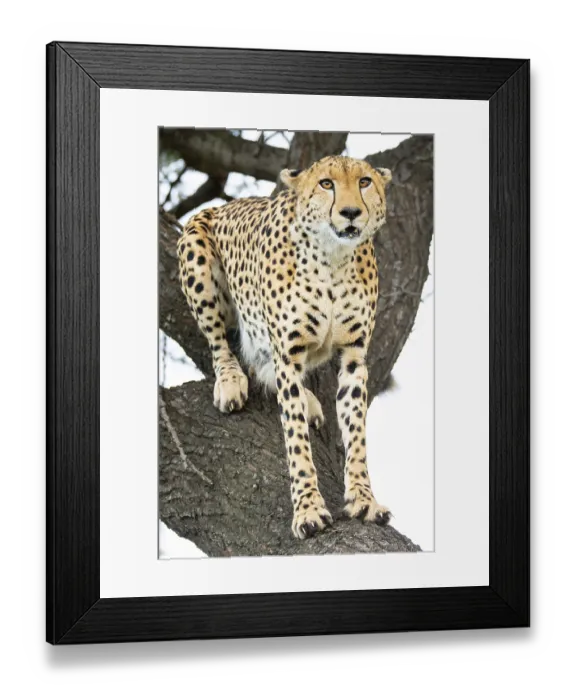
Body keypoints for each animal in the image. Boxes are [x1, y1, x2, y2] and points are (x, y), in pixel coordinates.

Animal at [177, 155, 393, 539]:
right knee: (220, 343)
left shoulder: (354, 355)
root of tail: (224, 205)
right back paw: (230, 381)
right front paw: (308, 510)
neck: (334, 259)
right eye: (326, 183)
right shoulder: (288, 355)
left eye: (365, 182)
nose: (351, 212)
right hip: (195, 248)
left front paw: (364, 499)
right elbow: (296, 441)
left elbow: (356, 435)